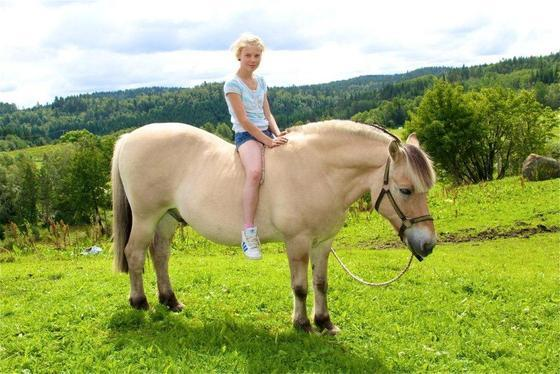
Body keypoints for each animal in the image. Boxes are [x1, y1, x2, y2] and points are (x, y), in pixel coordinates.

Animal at [112, 119, 438, 334]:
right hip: (146, 217)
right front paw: (303, 324)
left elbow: (320, 283)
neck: (319, 170)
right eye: (406, 190)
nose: (428, 244)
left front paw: (325, 322)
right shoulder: (297, 242)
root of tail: (129, 138)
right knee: (135, 255)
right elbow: (300, 287)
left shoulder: (323, 243)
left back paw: (170, 301)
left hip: (166, 219)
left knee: (160, 256)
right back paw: (140, 302)